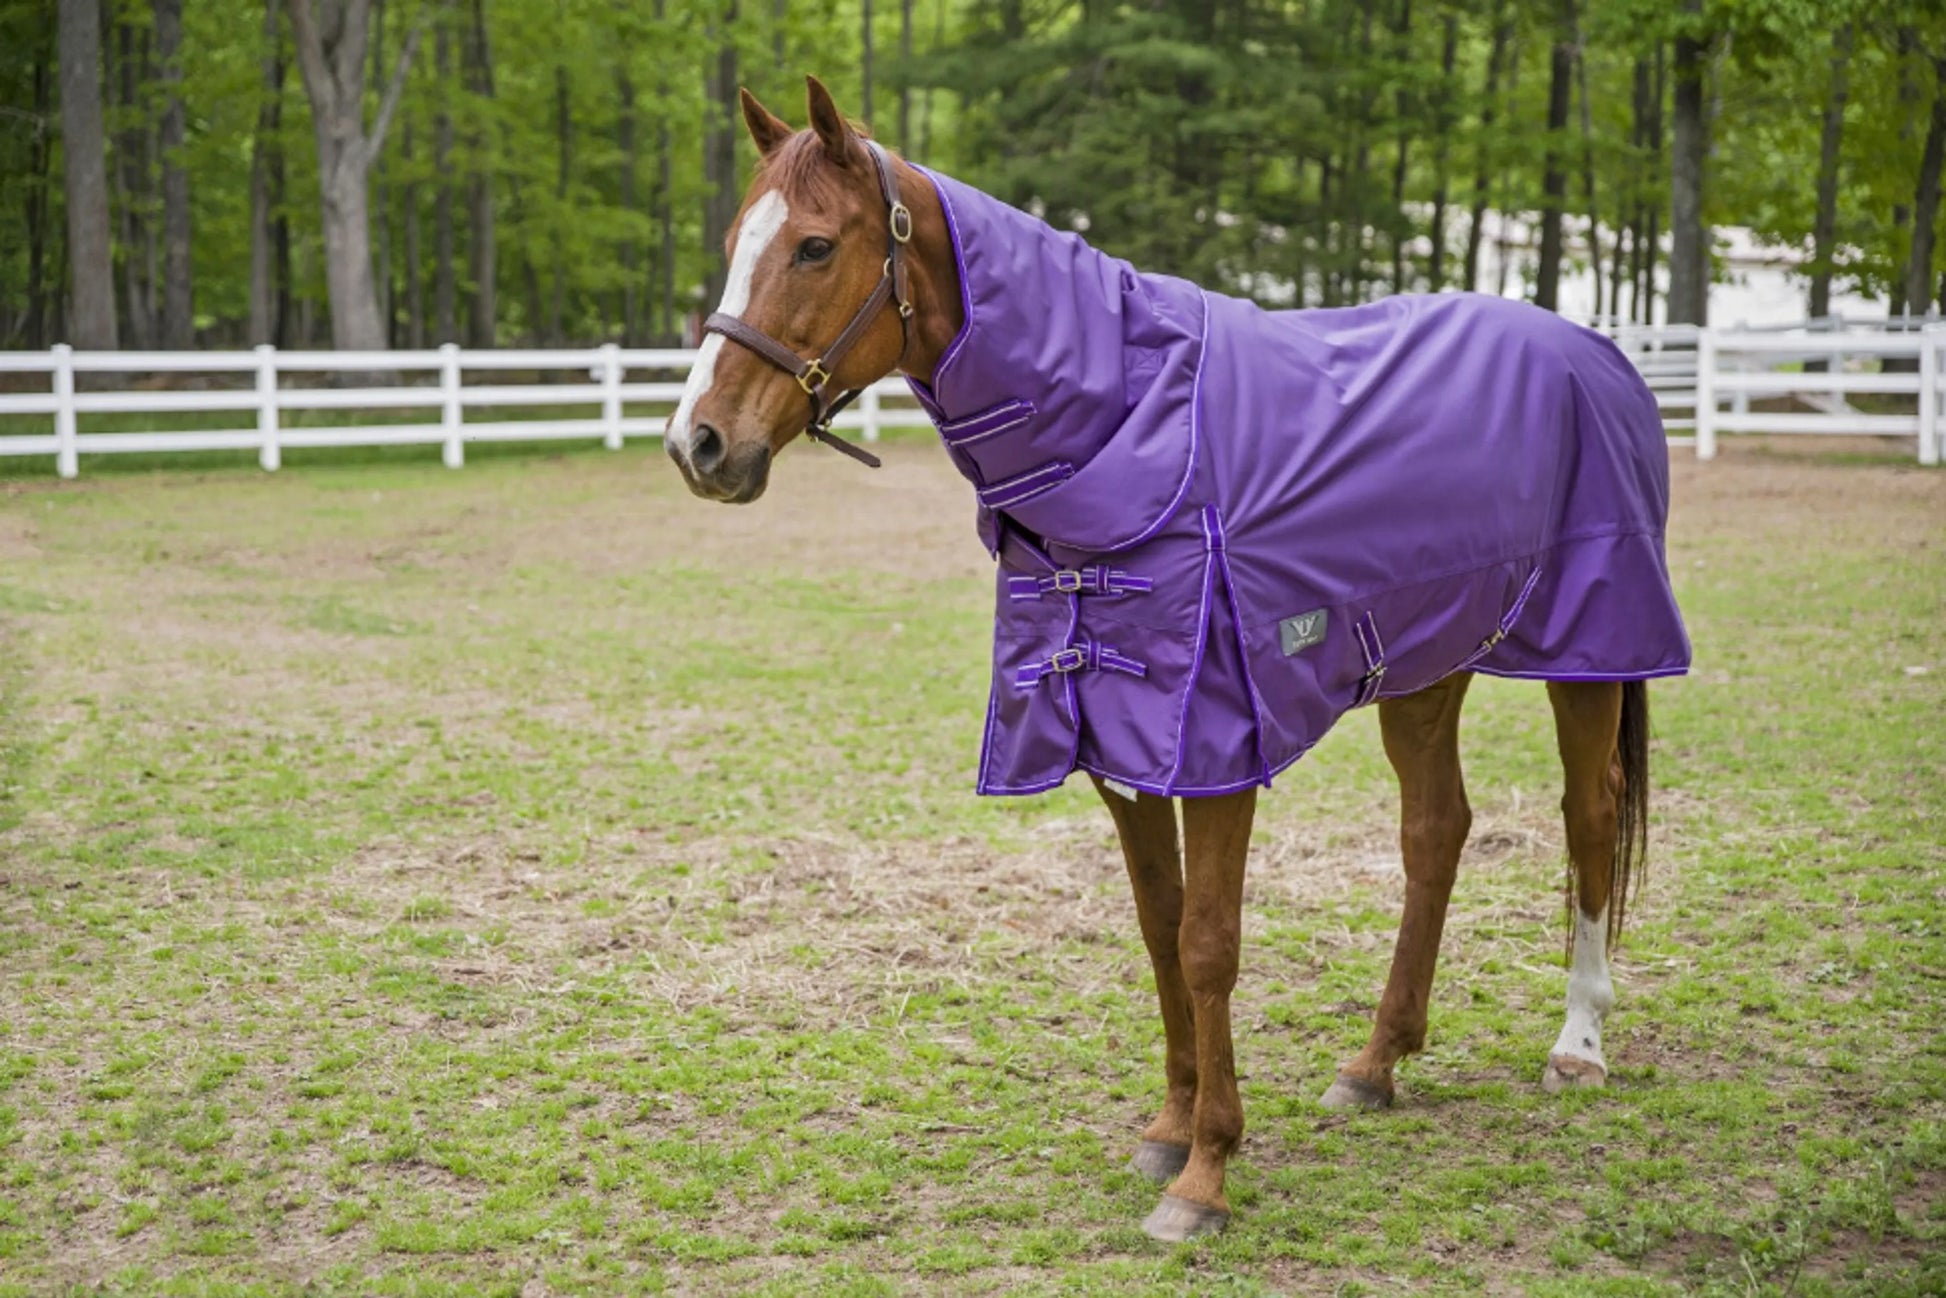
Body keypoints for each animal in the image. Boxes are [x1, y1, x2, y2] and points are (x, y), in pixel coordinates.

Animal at [664, 77, 1690, 1243]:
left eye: (814, 246)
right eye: (738, 243)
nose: (697, 443)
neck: (1131, 430)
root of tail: (1597, 353)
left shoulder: (1213, 745)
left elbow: (1207, 941)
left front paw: (1207, 1171)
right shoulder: (1120, 742)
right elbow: (1159, 929)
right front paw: (1170, 1123)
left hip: (1589, 647)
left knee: (1590, 813)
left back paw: (1577, 1044)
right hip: (1424, 665)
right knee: (1435, 832)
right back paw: (1376, 1061)